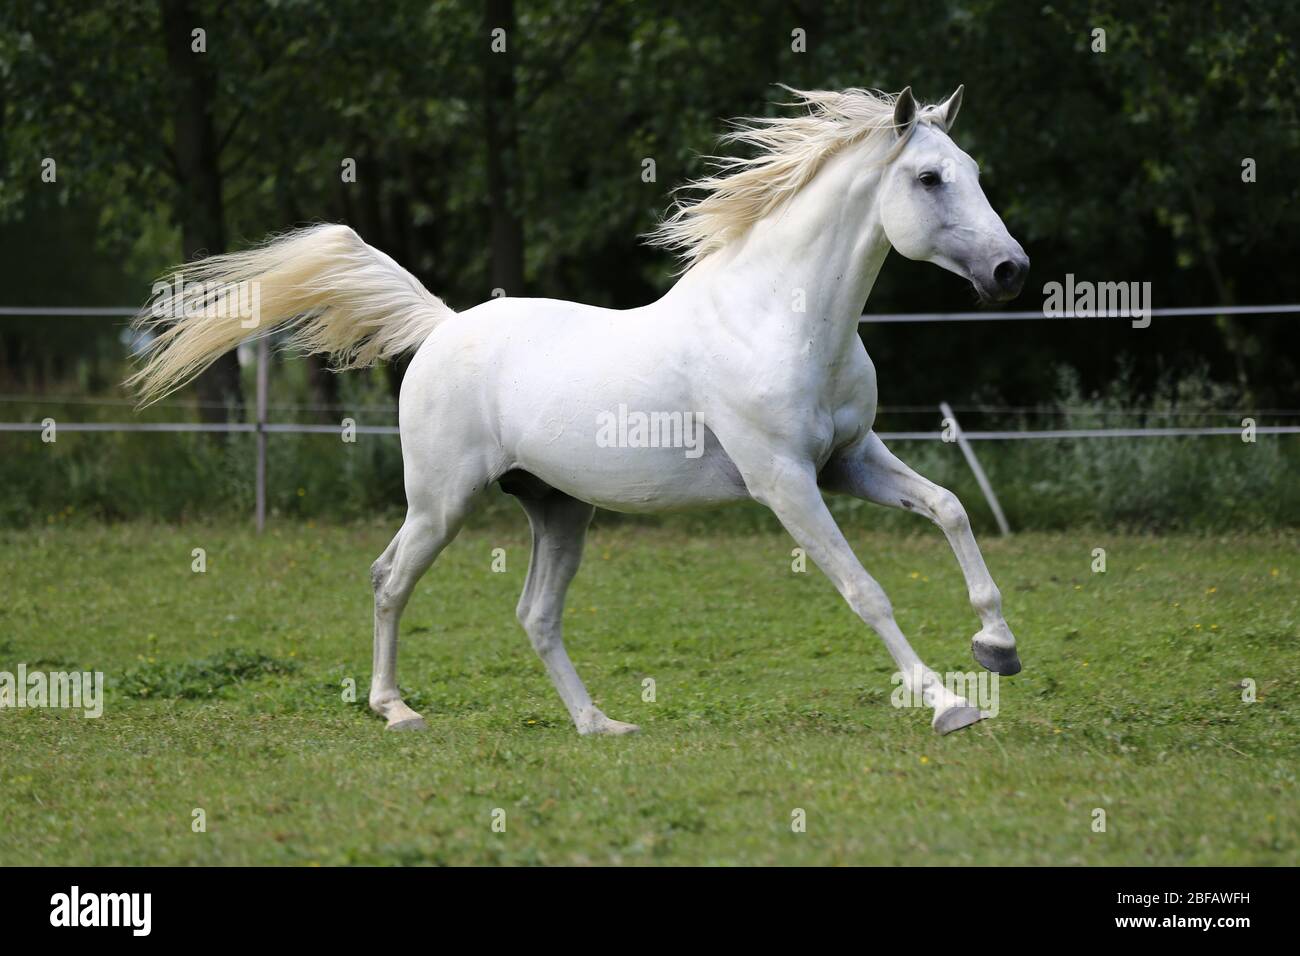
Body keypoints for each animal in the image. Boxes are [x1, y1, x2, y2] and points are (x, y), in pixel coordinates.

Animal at [129, 83, 1024, 738]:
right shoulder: (786, 482)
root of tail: (442, 325)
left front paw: (998, 647)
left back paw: (601, 724)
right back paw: (397, 710)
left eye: (975, 169)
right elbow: (866, 589)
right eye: (929, 178)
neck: (776, 318)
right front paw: (950, 704)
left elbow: (950, 508)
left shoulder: (849, 461)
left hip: (559, 509)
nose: (1011, 270)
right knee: (390, 579)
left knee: (535, 615)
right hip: (442, 502)